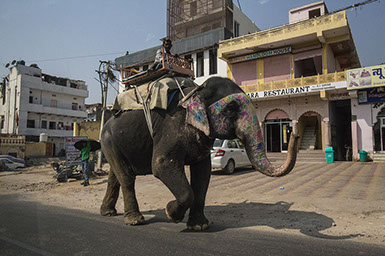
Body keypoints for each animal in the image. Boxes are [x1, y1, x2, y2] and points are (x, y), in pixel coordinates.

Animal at [98, 76, 296, 230]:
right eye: (231, 108)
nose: (294, 132)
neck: (196, 90)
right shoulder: (171, 127)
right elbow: (162, 165)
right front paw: (171, 214)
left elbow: (202, 173)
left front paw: (199, 226)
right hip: (108, 141)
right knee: (126, 177)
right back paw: (135, 220)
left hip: (113, 145)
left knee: (115, 176)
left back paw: (108, 212)